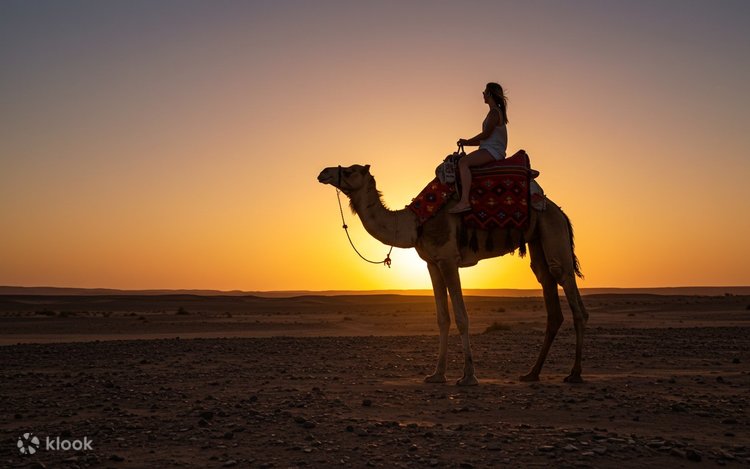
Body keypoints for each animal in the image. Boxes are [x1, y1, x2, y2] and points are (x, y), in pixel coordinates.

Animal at [317, 163, 588, 385]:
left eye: (350, 170)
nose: (324, 173)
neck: (417, 222)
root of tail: (561, 212)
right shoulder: (432, 264)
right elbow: (442, 318)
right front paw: (436, 375)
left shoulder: (448, 260)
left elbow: (461, 316)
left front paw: (468, 377)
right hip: (537, 241)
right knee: (548, 286)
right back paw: (532, 373)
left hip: (553, 232)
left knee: (569, 289)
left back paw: (574, 374)